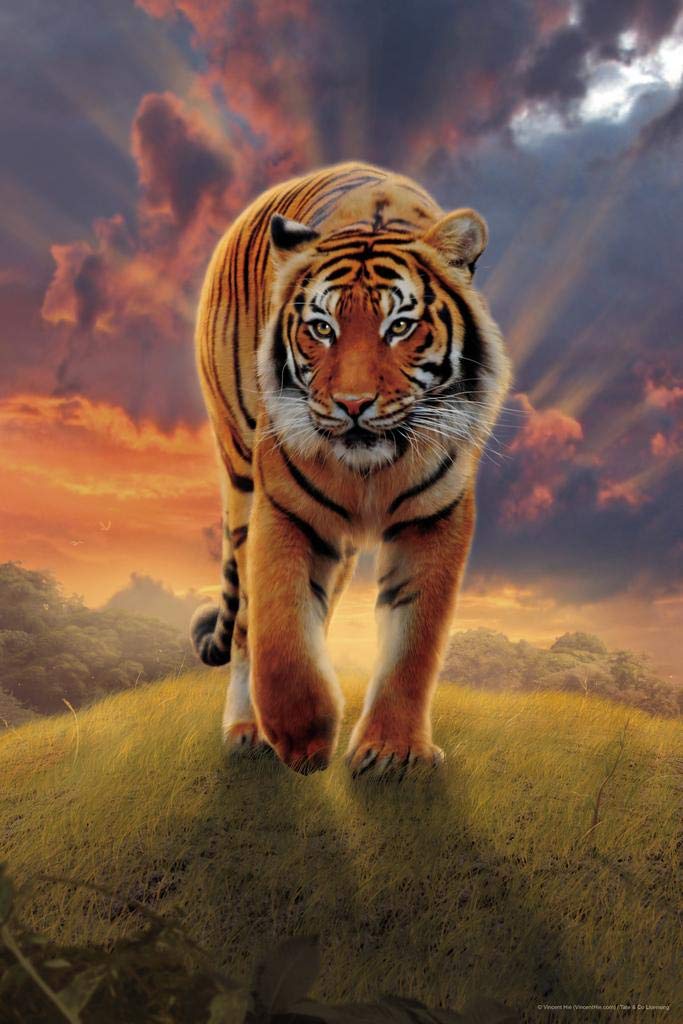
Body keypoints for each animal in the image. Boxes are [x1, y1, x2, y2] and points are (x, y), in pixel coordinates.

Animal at [190, 160, 511, 777]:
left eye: (400, 326)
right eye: (322, 328)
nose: (354, 404)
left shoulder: (435, 517)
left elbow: (414, 641)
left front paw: (391, 752)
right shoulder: (285, 508)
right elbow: (281, 630)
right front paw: (300, 735)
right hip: (240, 474)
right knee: (244, 622)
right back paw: (247, 728)